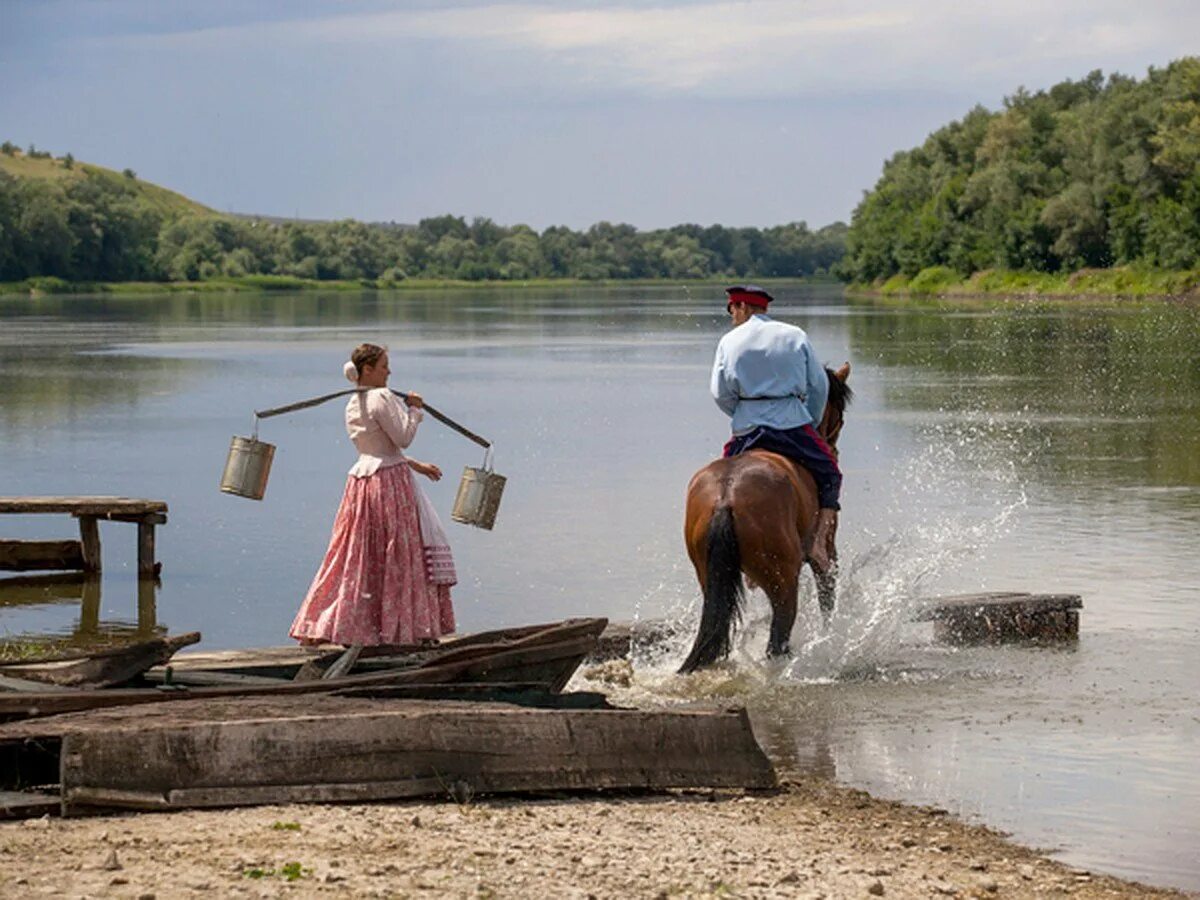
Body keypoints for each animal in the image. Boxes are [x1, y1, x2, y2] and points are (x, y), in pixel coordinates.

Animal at [676, 362, 854, 672]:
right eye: (839, 414)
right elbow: (827, 598)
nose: (833, 449)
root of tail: (725, 497)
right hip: (783, 582)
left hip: (710, 577)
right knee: (777, 640)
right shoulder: (826, 551)